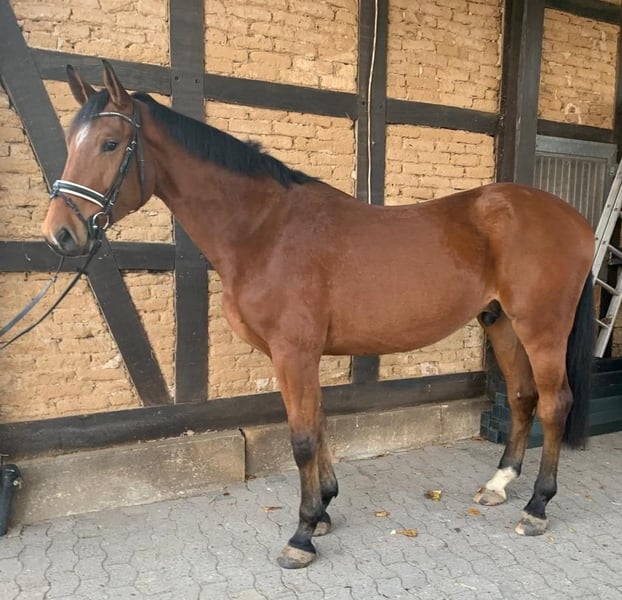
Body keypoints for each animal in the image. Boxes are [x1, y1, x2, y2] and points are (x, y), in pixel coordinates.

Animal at [42, 61, 595, 569]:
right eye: (69, 140)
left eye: (110, 143)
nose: (60, 234)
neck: (264, 230)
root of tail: (574, 218)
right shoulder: (298, 356)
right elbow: (321, 424)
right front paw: (325, 508)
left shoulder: (294, 352)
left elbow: (303, 437)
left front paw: (303, 533)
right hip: (501, 323)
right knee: (523, 397)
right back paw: (499, 484)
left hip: (542, 328)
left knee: (555, 404)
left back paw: (537, 506)